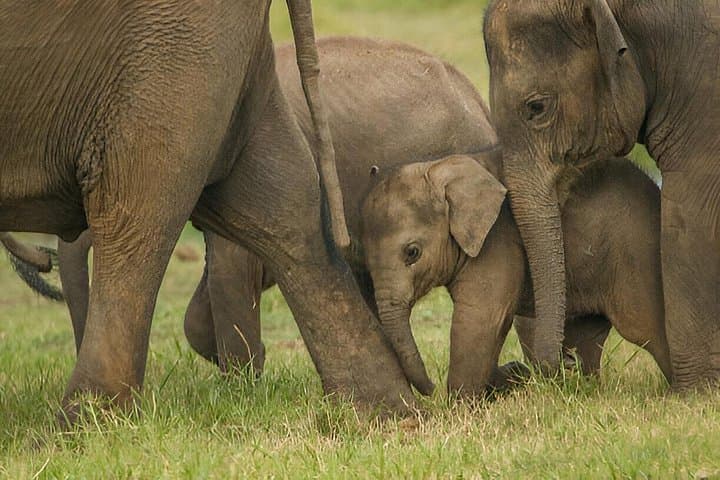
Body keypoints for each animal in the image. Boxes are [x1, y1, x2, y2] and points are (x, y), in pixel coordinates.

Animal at [0, 1, 413, 423]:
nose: (44, 261)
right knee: (286, 199)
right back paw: (384, 412)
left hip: (171, 45)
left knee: (137, 204)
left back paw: (85, 421)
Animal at [361, 151, 672, 396]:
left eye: (412, 252)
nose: (431, 389)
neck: (440, 166)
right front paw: (511, 377)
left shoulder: (498, 239)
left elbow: (480, 318)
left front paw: (459, 407)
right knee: (585, 336)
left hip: (635, 256)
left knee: (647, 328)